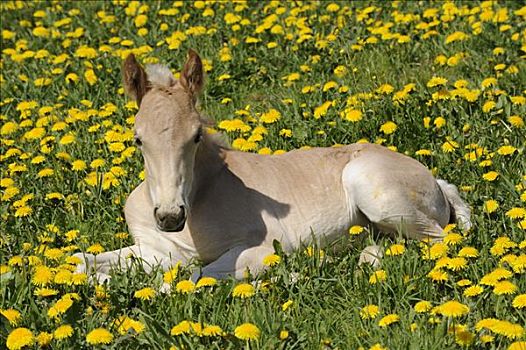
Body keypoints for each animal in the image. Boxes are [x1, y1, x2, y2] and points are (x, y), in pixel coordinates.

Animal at [75, 50, 474, 284]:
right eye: (137, 139)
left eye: (196, 136)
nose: (170, 217)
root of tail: (436, 182)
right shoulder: (155, 250)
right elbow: (82, 261)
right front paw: (98, 281)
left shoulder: (259, 249)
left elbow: (189, 277)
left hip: (373, 189)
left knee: (439, 241)